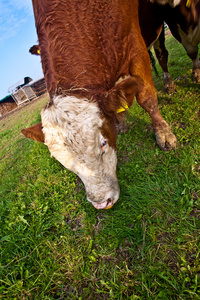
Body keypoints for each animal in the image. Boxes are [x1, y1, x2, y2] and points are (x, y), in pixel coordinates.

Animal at [21, 0, 176, 210]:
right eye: (63, 162)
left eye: (103, 143)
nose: (102, 203)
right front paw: (121, 122)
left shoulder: (135, 46)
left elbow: (146, 97)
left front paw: (163, 133)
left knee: (161, 54)